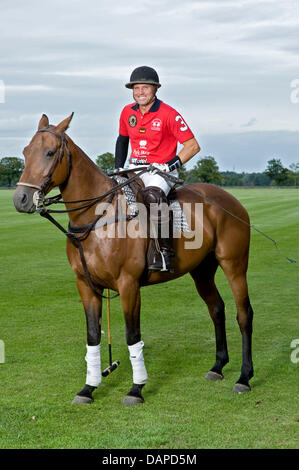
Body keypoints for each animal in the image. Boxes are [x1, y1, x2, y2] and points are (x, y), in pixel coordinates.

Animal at [12, 113, 254, 404]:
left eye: (49, 152)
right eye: (26, 152)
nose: (21, 199)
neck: (97, 217)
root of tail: (232, 200)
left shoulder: (128, 284)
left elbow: (132, 335)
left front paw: (136, 389)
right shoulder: (85, 284)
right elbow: (92, 336)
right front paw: (88, 388)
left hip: (234, 263)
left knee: (244, 313)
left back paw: (244, 377)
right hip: (202, 269)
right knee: (217, 308)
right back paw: (218, 366)